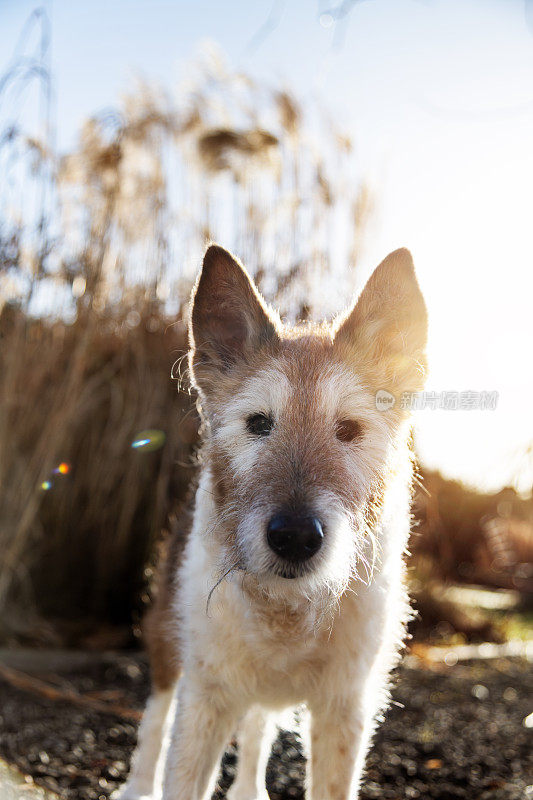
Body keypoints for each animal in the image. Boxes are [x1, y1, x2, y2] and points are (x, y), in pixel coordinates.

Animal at [115, 244, 428, 800]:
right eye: (258, 423)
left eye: (349, 429)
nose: (295, 538)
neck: (286, 612)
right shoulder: (206, 697)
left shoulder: (344, 710)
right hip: (167, 638)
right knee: (156, 714)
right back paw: (138, 785)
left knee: (258, 727)